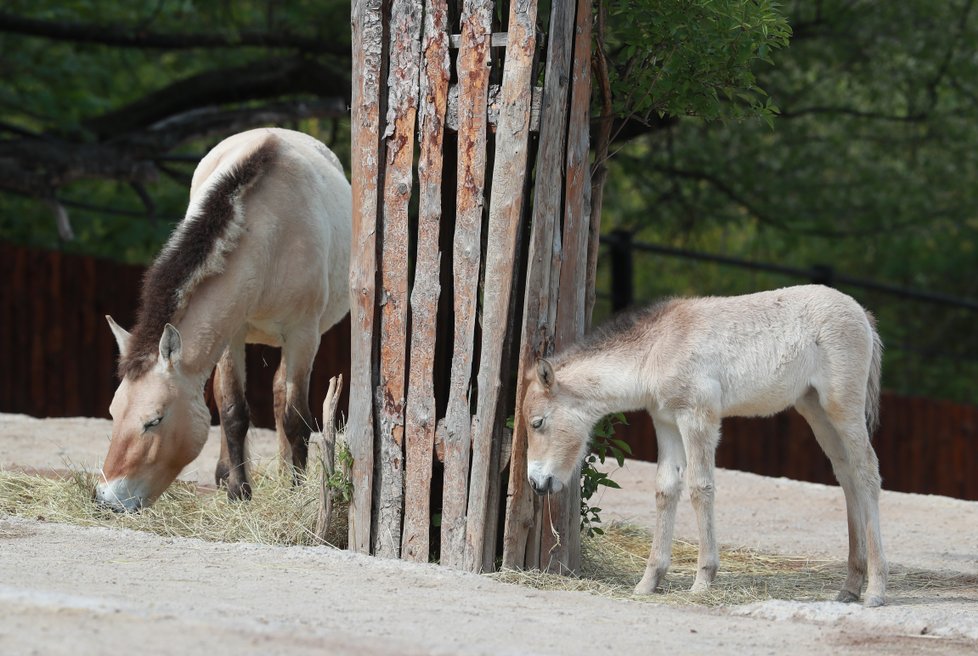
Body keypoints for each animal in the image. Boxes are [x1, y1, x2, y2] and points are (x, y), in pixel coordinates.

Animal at [97, 127, 348, 512]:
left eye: (154, 420)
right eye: (113, 411)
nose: (108, 498)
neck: (271, 233)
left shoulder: (303, 335)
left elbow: (295, 417)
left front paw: (295, 493)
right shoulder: (232, 332)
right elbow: (232, 411)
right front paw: (238, 492)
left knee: (281, 398)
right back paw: (225, 474)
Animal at [524, 284, 888, 608]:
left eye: (537, 422)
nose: (537, 483)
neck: (659, 349)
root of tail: (863, 314)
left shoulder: (698, 417)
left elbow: (700, 488)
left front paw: (703, 580)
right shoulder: (666, 421)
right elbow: (666, 489)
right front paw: (648, 582)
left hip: (843, 407)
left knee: (867, 472)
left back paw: (875, 591)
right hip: (815, 409)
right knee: (847, 476)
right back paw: (850, 587)